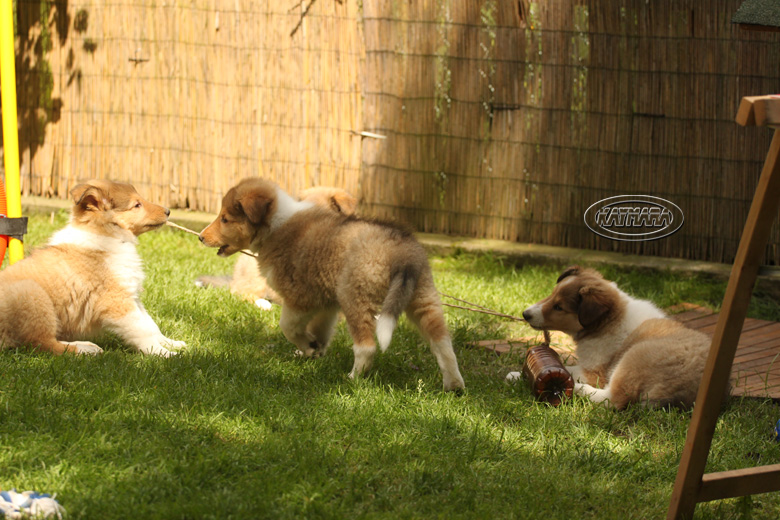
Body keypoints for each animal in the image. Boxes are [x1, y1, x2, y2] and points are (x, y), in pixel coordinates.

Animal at [0, 179, 185, 357]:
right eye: (136, 204)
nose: (168, 211)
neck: (107, 236)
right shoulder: (116, 299)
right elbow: (141, 330)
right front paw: (164, 354)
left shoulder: (131, 294)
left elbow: (150, 325)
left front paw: (172, 343)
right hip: (33, 295)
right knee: (42, 343)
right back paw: (85, 350)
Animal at [522, 266, 712, 409]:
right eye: (552, 294)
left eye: (559, 307)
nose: (525, 314)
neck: (609, 320)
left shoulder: (595, 372)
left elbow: (568, 369)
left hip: (634, 356)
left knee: (613, 399)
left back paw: (574, 389)